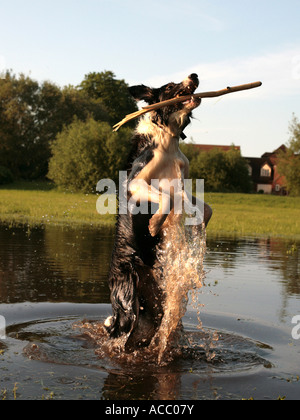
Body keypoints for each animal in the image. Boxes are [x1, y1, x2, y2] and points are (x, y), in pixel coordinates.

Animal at [104, 74, 212, 350]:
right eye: (171, 87)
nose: (195, 75)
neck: (167, 140)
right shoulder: (136, 183)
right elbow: (166, 200)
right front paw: (154, 225)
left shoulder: (182, 184)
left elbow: (205, 207)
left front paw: (199, 228)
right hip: (130, 303)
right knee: (122, 334)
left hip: (153, 303)